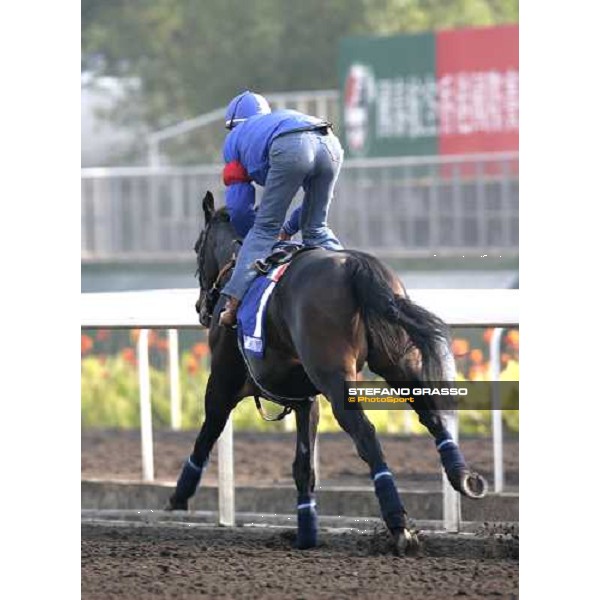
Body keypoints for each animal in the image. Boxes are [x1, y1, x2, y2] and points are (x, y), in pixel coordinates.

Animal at [165, 191, 488, 552]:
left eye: (196, 246)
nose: (201, 307)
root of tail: (356, 266)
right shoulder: (306, 399)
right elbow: (304, 467)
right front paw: (306, 533)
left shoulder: (223, 381)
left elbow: (207, 433)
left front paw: (179, 495)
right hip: (398, 362)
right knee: (431, 415)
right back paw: (463, 477)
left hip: (335, 376)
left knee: (366, 433)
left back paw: (399, 524)